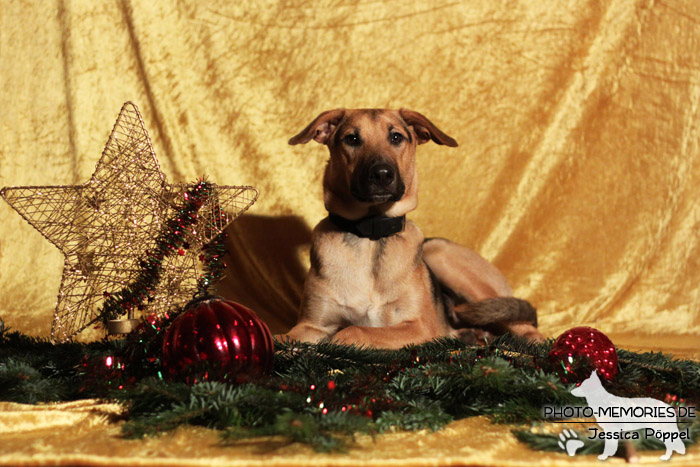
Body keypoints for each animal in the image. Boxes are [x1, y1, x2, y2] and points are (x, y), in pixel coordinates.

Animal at [284, 109, 540, 350]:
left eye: (396, 137)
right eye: (352, 139)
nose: (382, 175)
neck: (371, 235)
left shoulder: (421, 326)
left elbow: (354, 330)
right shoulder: (310, 325)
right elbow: (284, 338)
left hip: (439, 254)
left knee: (530, 331)